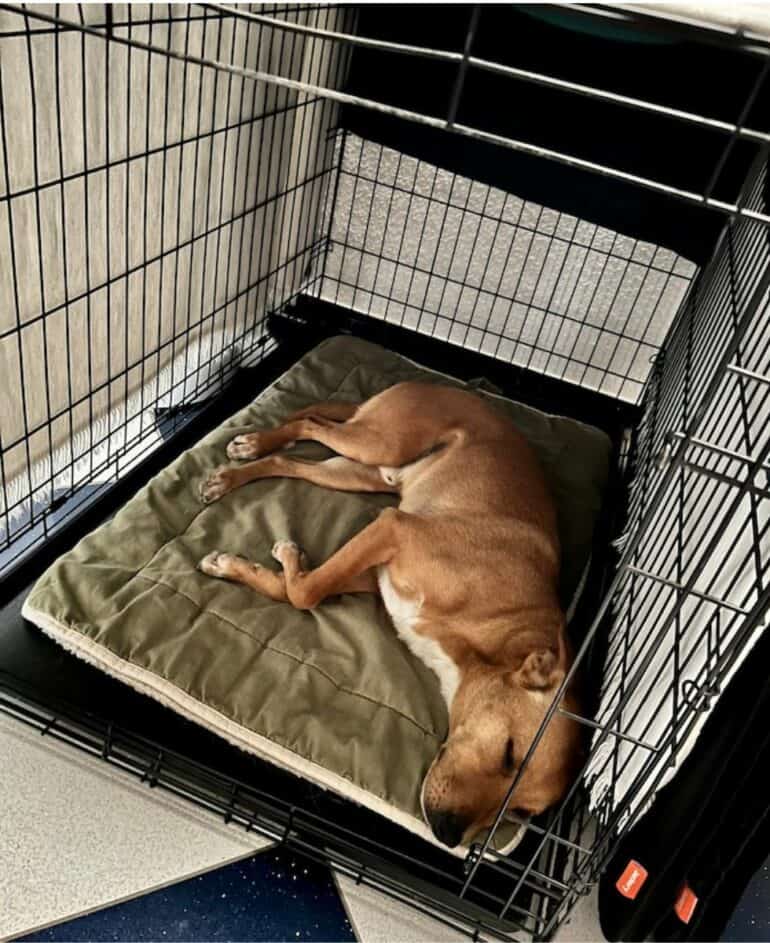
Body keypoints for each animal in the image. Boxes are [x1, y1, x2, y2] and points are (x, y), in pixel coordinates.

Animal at [196, 382, 576, 848]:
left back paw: (243, 465)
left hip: (360, 471)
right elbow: (305, 593)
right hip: (378, 443)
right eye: (509, 754)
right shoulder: (393, 528)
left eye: (520, 812)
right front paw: (286, 561)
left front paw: (242, 567)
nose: (447, 835)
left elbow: (298, 589)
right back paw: (250, 450)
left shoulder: (375, 574)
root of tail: (430, 384)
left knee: (294, 459)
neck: (496, 627)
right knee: (311, 423)